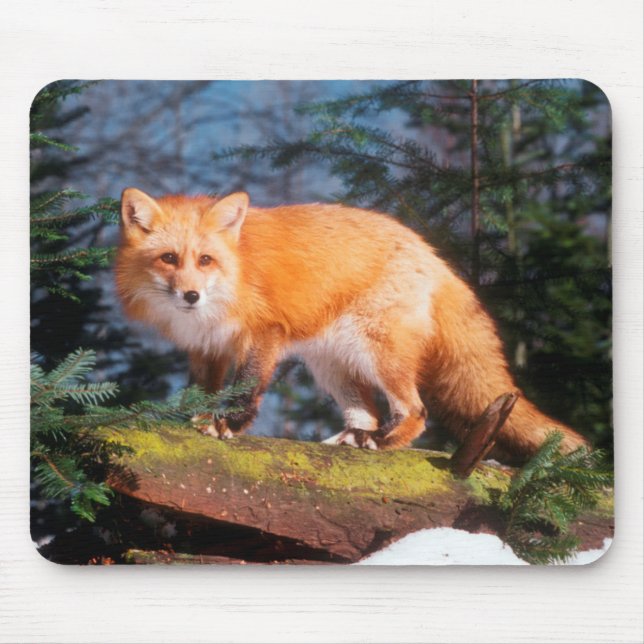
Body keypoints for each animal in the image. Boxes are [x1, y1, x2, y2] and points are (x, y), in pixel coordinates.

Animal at [115, 188, 588, 463]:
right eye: (169, 259)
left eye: (205, 260)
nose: (191, 296)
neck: (236, 272)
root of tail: (432, 254)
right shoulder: (207, 347)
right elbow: (201, 390)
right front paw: (188, 420)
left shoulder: (263, 334)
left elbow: (246, 388)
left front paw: (226, 424)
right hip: (333, 367)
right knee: (368, 413)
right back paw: (353, 439)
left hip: (376, 351)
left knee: (415, 412)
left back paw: (380, 442)